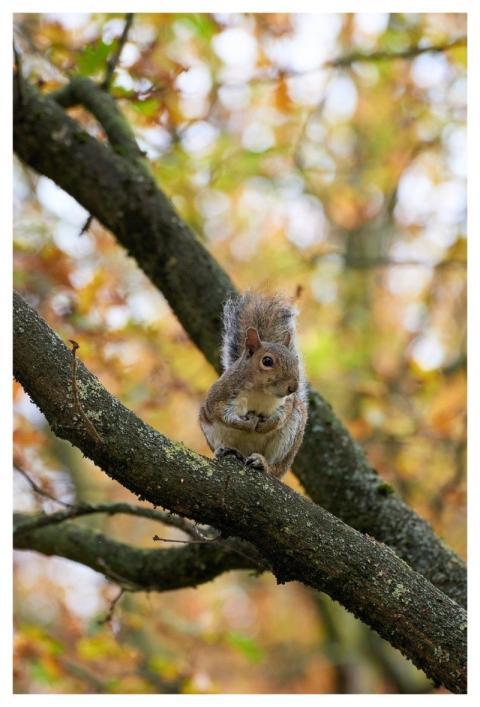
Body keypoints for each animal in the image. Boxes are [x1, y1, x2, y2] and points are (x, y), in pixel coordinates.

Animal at [199, 291, 308, 478]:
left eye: (296, 361)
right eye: (267, 361)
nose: (293, 387)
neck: (261, 393)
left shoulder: (287, 402)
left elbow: (282, 415)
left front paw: (267, 425)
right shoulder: (221, 394)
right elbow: (222, 413)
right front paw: (246, 424)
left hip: (289, 439)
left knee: (275, 469)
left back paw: (263, 464)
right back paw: (226, 450)